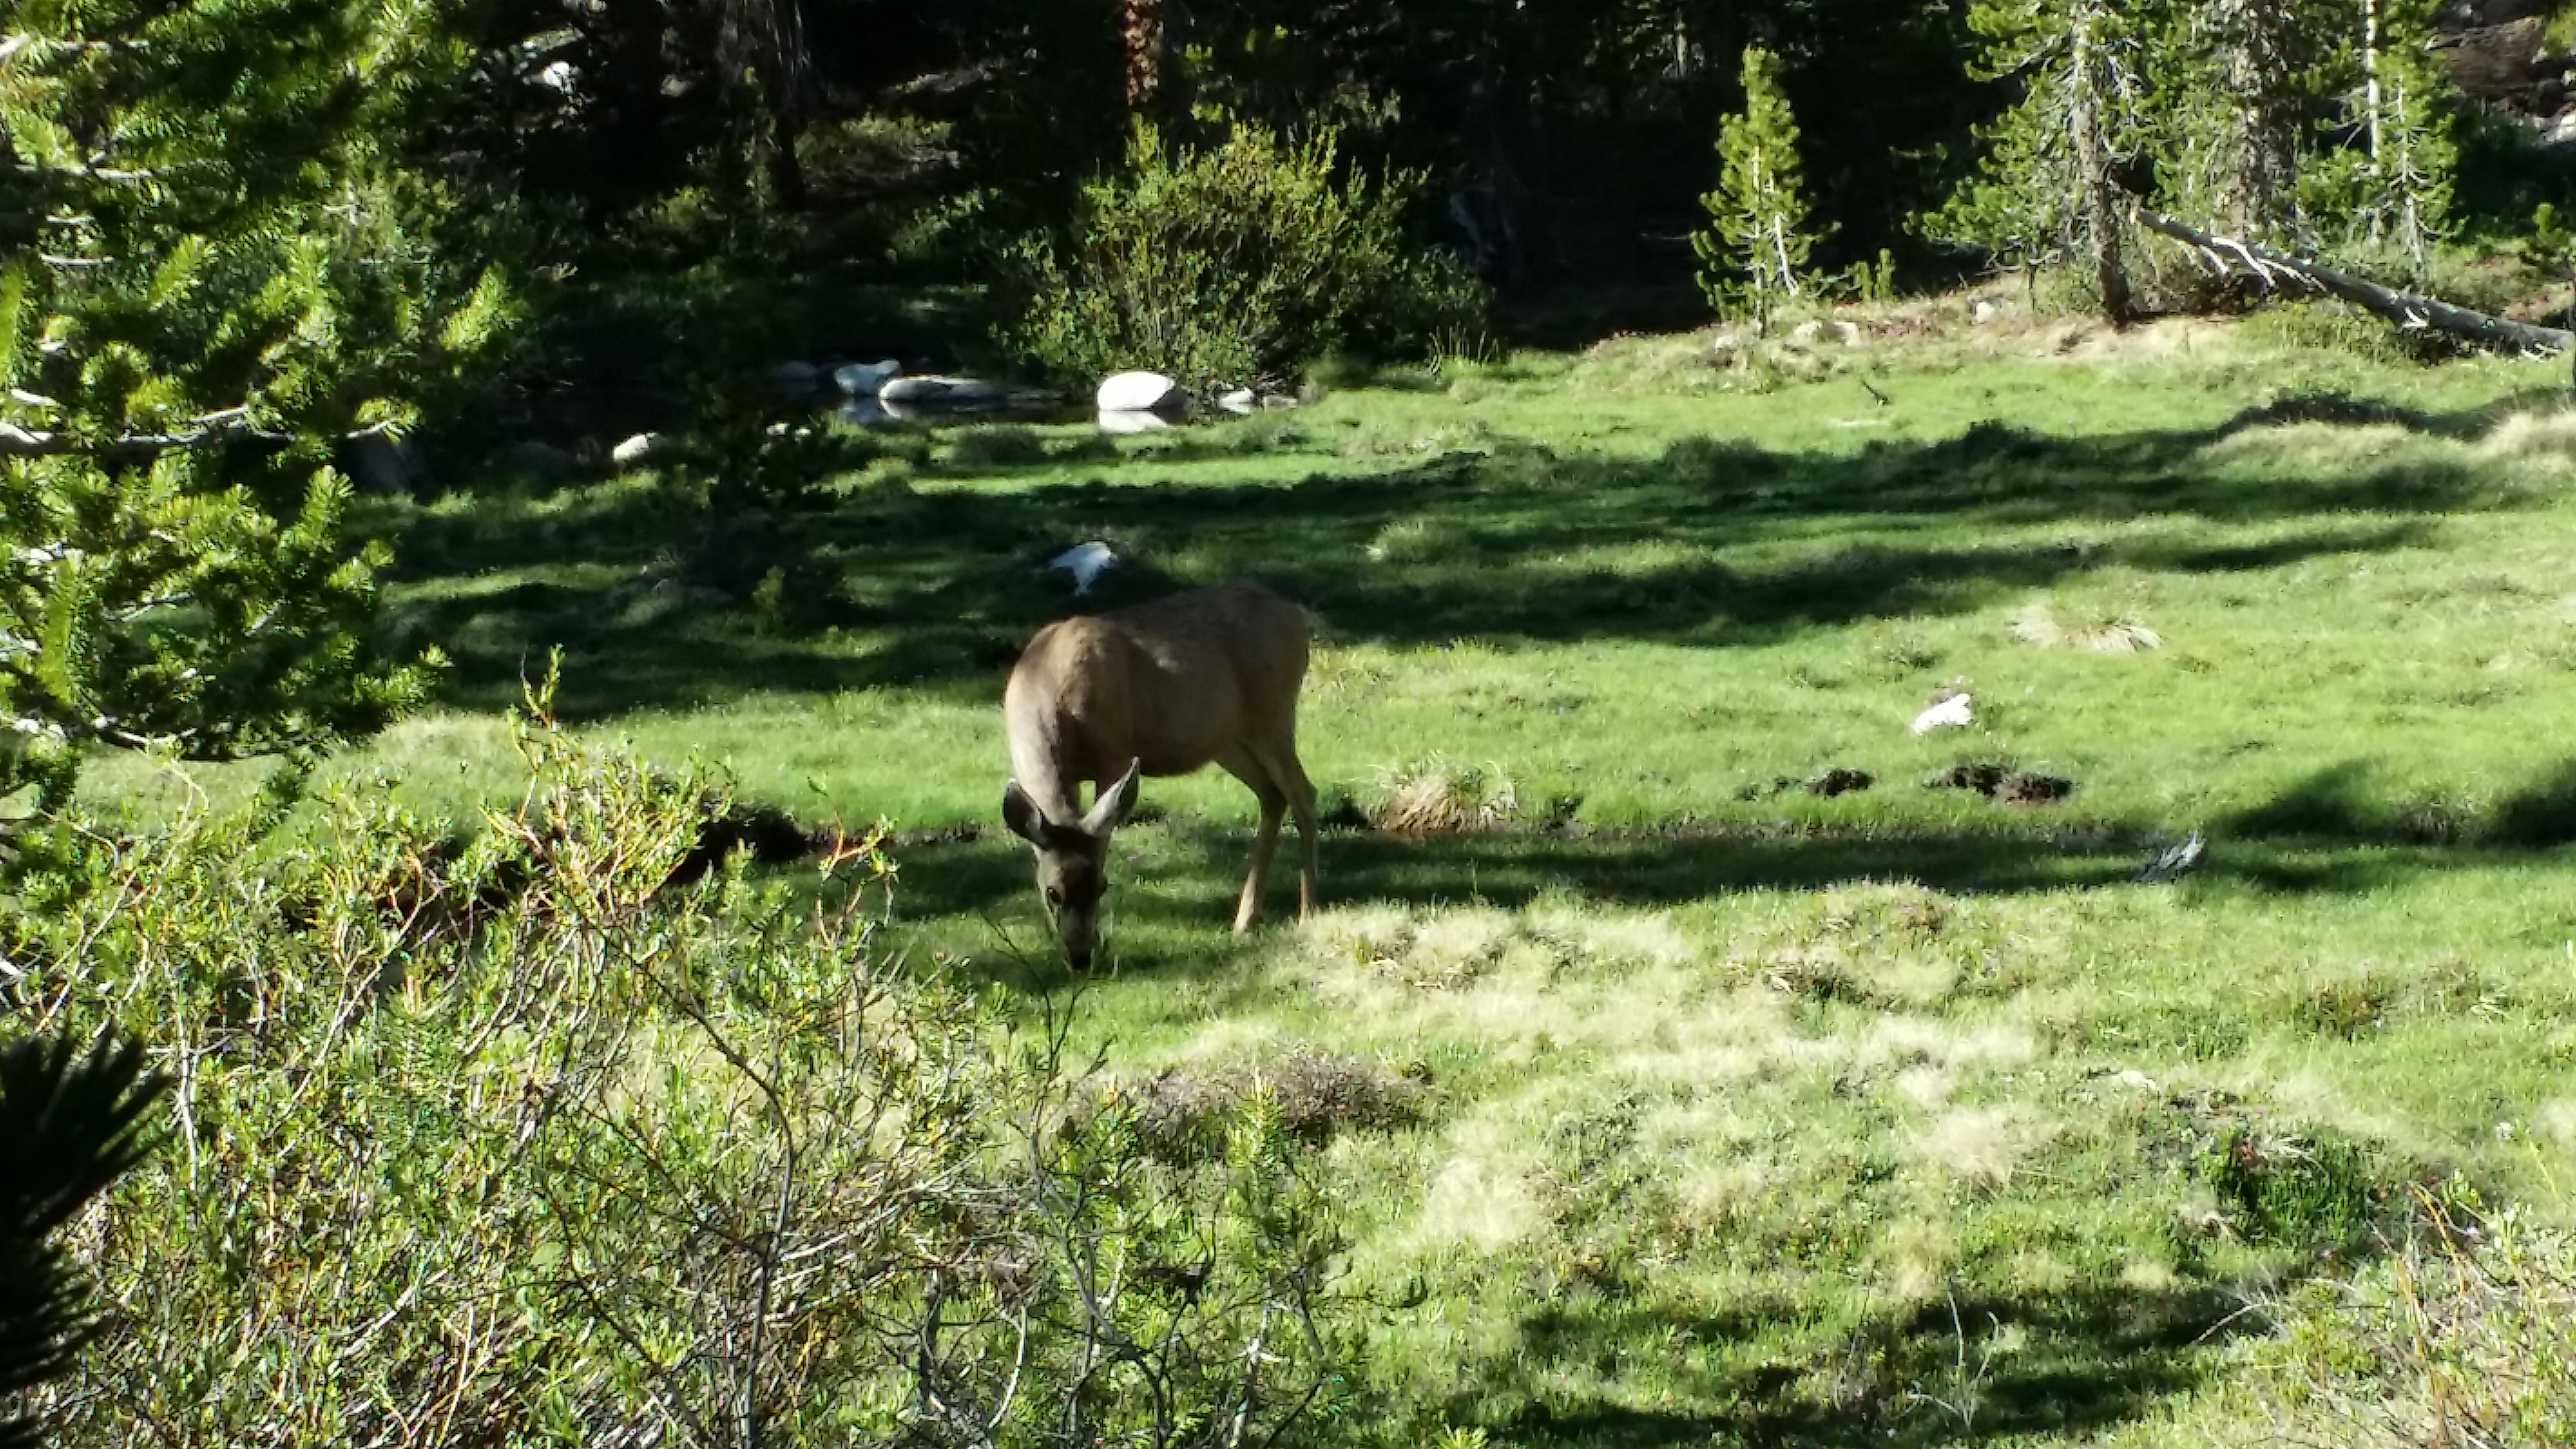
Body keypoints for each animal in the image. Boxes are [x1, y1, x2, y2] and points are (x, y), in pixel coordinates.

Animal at [1001, 580, 1320, 970]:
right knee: (1273, 794)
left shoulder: (1115, 750)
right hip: (1228, 739)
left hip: (1273, 714)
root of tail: (1295, 616)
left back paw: (1308, 912)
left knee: (1304, 793)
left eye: (1103, 885)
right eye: (1052, 893)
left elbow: (1104, 835)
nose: (1080, 958)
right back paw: (1245, 920)